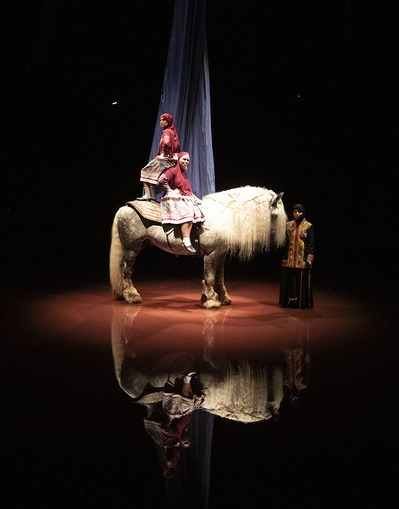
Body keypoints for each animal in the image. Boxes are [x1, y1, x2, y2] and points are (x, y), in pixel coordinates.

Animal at [110, 186, 288, 308]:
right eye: (274, 215)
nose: (279, 241)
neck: (221, 216)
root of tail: (125, 207)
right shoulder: (211, 253)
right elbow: (209, 276)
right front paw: (210, 300)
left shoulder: (221, 254)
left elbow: (219, 276)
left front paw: (222, 297)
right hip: (132, 248)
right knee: (126, 270)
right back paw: (132, 296)